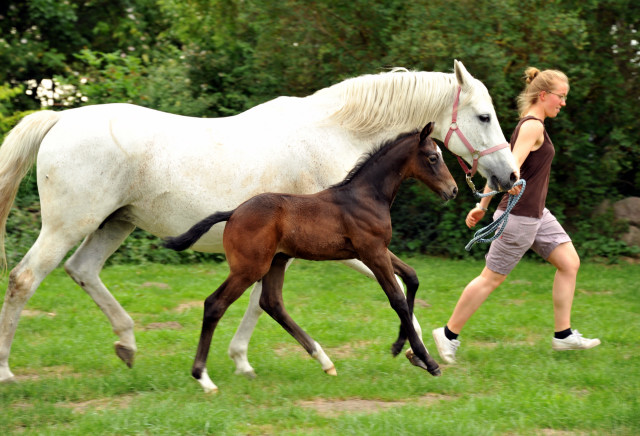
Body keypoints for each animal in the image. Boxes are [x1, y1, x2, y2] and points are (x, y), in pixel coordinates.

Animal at [0, 59, 516, 384]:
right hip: (68, 225)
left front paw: (241, 361)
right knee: (24, 278)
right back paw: (7, 371)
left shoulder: (280, 251)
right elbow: (391, 291)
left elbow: (259, 301)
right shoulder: (347, 251)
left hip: (114, 223)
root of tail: (61, 118)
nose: (510, 175)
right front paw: (419, 351)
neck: (336, 137)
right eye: (484, 116)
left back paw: (127, 345)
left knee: (82, 270)